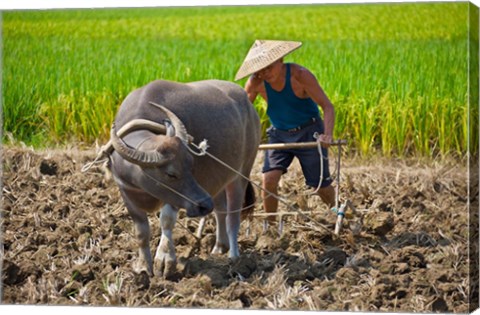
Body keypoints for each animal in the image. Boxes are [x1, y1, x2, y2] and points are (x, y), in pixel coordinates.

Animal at [107, 79, 260, 278]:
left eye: (191, 164)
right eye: (171, 174)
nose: (204, 204)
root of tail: (248, 103)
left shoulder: (174, 197)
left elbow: (166, 220)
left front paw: (164, 261)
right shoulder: (126, 193)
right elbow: (141, 232)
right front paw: (143, 267)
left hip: (241, 173)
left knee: (233, 217)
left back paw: (234, 257)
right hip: (216, 183)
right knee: (220, 210)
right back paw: (219, 248)